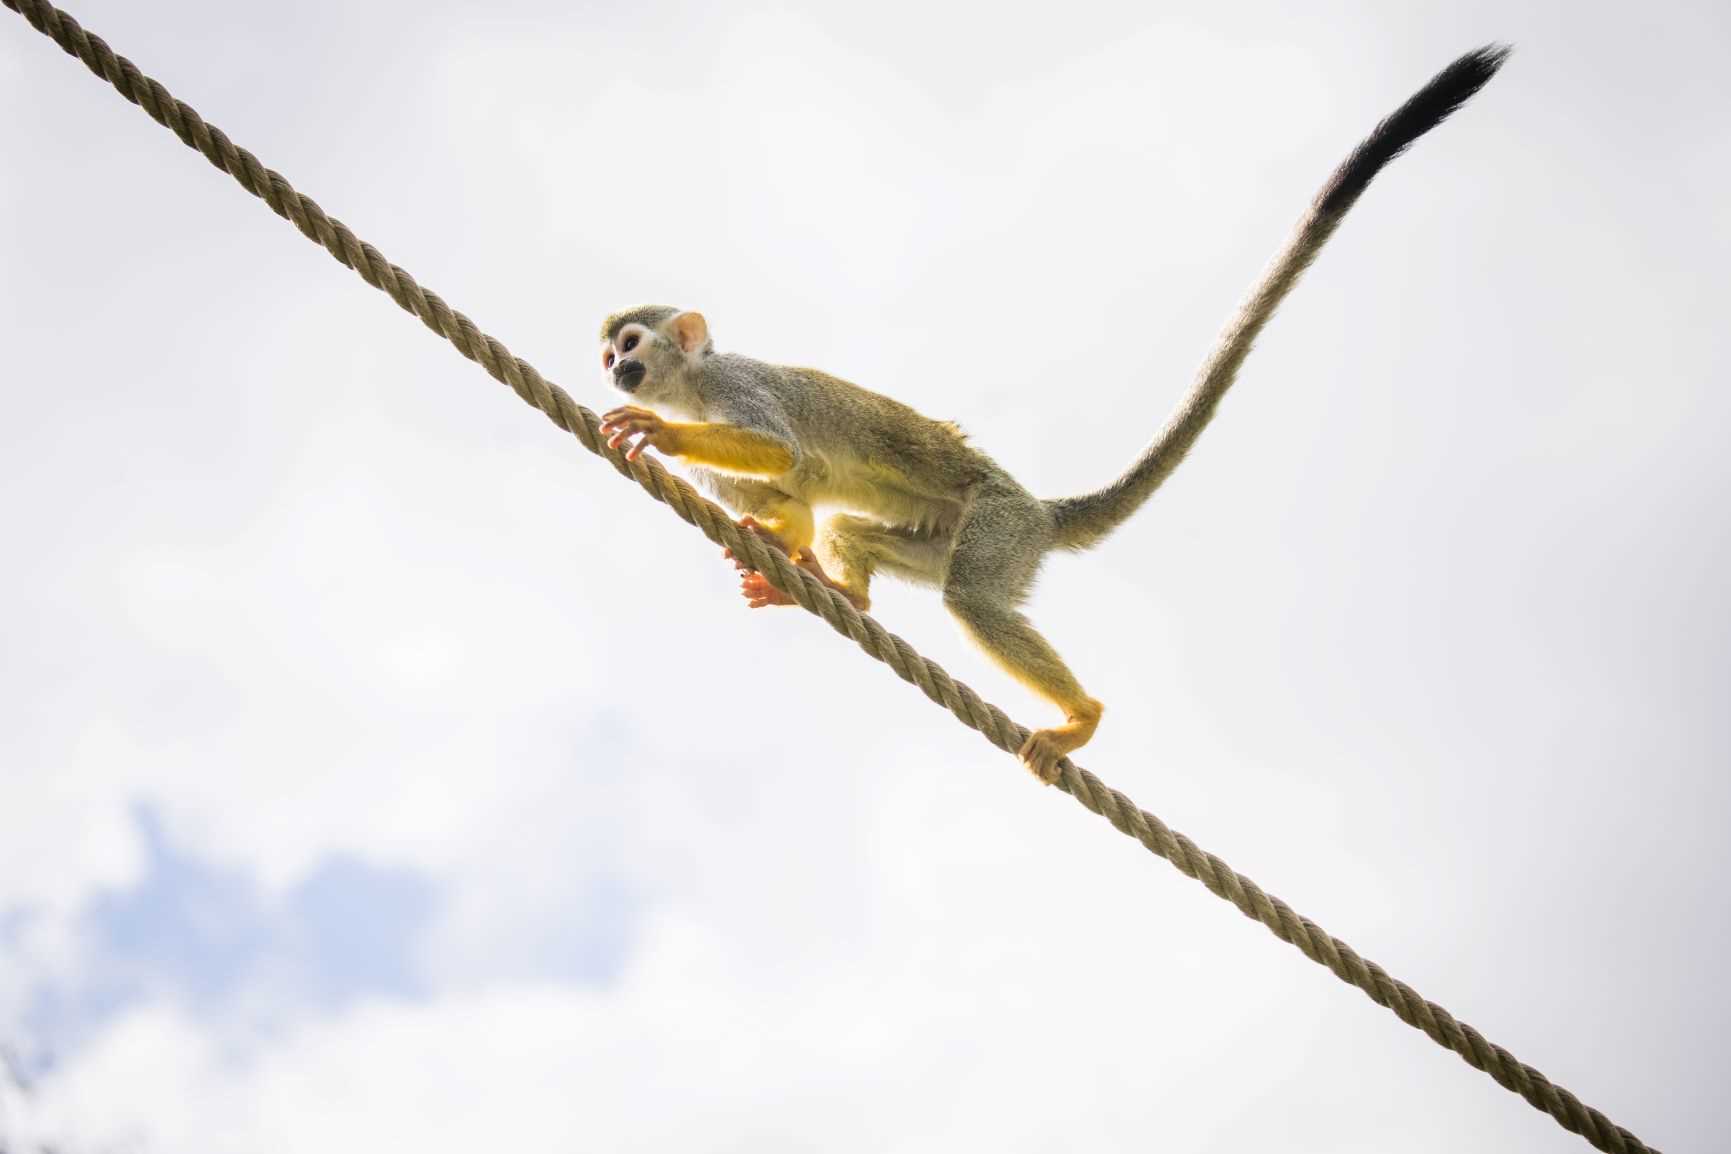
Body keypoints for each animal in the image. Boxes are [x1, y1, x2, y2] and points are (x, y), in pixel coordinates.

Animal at [595, 45, 1502, 785]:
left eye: (632, 344)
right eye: (608, 357)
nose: (618, 370)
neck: (693, 386)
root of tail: (1039, 508)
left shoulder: (738, 384)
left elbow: (781, 452)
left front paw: (663, 433)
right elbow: (788, 497)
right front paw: (782, 541)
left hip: (999, 527)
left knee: (974, 597)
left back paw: (1081, 717)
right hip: (953, 534)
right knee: (871, 537)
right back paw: (847, 588)